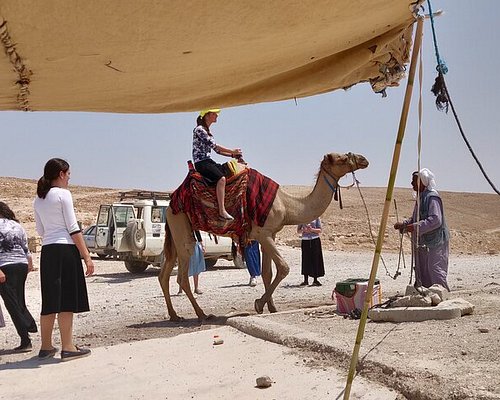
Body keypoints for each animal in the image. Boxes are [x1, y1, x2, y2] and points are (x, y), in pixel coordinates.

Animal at [158, 152, 370, 320]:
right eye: (342, 158)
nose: (364, 159)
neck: (287, 205)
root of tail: (170, 204)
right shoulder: (263, 233)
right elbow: (283, 267)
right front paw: (259, 304)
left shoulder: (270, 234)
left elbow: (267, 272)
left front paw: (271, 307)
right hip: (182, 230)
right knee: (182, 277)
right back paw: (201, 313)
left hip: (175, 235)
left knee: (164, 275)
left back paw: (174, 315)